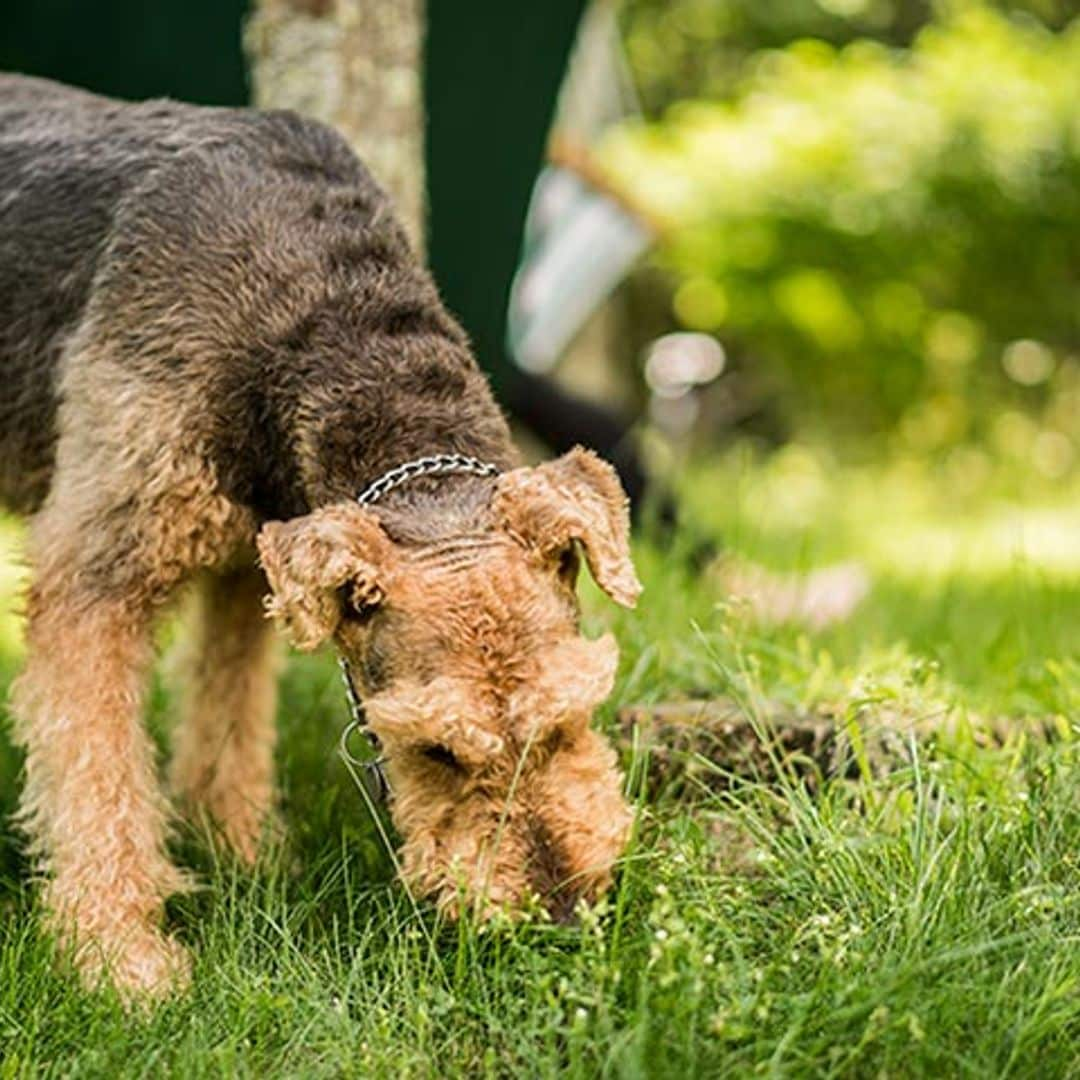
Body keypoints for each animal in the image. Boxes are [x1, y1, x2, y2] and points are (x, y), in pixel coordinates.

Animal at [0, 76, 639, 997]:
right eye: (436, 750)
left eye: (569, 719)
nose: (558, 913)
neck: (310, 309)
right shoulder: (97, 576)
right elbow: (99, 774)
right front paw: (121, 962)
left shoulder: (252, 562)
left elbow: (228, 717)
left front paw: (242, 852)